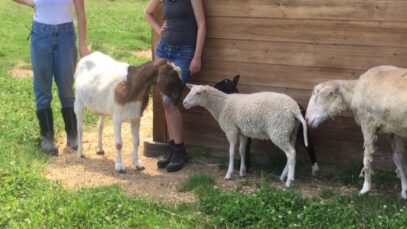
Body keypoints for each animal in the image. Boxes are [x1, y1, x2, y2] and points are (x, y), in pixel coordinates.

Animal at [308, 65, 407, 199]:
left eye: (318, 95)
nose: (307, 119)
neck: (354, 91)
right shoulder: (392, 128)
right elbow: (399, 159)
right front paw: (404, 191)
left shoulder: (368, 123)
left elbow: (367, 159)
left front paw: (365, 188)